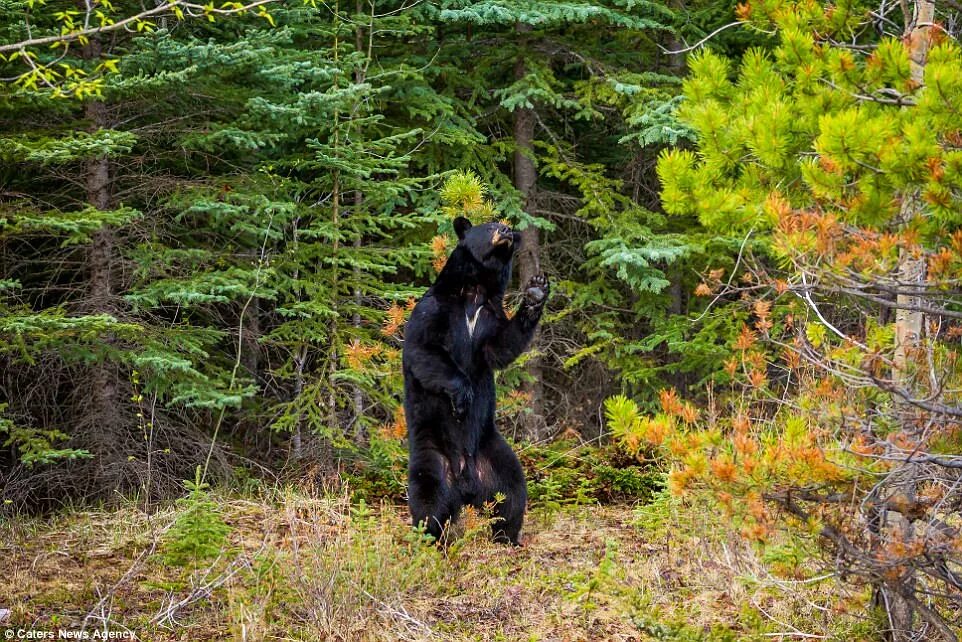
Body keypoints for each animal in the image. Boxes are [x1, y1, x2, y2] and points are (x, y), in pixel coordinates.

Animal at [400, 218, 548, 544]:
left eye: (508, 226)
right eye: (491, 225)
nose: (506, 233)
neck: (474, 293)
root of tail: (466, 483)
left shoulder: (490, 318)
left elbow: (501, 347)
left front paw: (535, 292)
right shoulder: (434, 310)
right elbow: (424, 350)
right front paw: (462, 396)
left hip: (494, 454)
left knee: (512, 493)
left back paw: (507, 537)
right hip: (432, 455)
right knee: (428, 500)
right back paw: (431, 539)